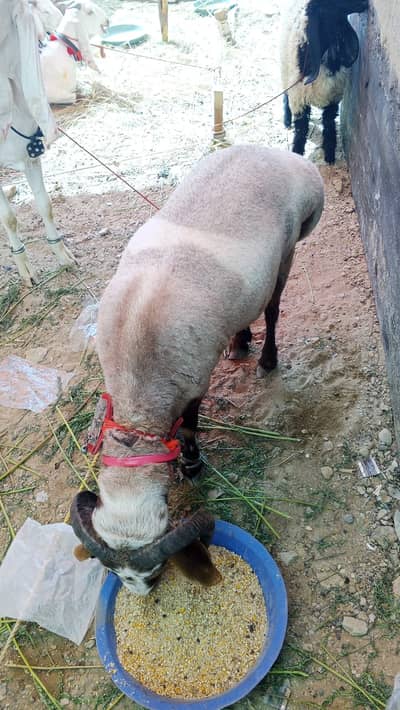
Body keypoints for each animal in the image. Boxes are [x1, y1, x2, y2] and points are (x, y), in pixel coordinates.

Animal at [71, 144, 324, 595]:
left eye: (155, 570)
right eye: (114, 573)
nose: (145, 596)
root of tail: (281, 154)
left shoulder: (193, 383)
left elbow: (188, 429)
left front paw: (191, 466)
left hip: (288, 251)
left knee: (273, 308)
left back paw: (266, 360)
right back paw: (239, 342)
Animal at [280, 0, 368, 164]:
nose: (365, 3)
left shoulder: (332, 100)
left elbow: (329, 126)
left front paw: (329, 156)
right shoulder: (299, 101)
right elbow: (301, 132)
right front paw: (297, 154)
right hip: (285, 70)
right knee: (285, 95)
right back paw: (287, 121)